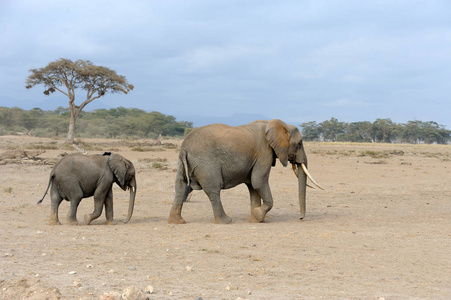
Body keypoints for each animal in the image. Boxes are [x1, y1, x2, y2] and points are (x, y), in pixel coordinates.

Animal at [168, 118, 324, 224]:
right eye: (300, 144)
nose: (301, 218)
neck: (274, 124)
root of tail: (184, 148)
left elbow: (253, 186)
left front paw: (255, 219)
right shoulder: (264, 152)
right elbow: (258, 181)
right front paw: (258, 215)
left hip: (184, 164)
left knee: (181, 188)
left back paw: (177, 222)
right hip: (206, 165)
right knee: (213, 190)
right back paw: (226, 221)